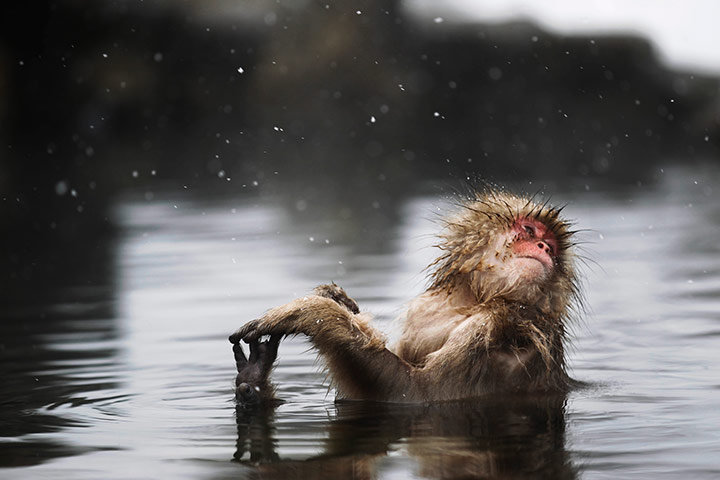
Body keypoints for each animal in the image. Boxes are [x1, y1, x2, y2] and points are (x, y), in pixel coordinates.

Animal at [229, 189, 582, 403]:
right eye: (529, 230)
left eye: (551, 245)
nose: (545, 247)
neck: (472, 301)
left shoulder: (490, 329)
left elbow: (419, 394)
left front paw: (313, 312)